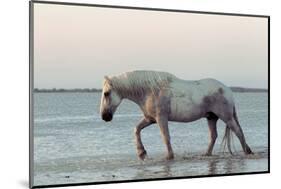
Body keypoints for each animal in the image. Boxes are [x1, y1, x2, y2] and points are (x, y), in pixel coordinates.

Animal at [99, 70, 253, 159]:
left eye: (106, 93)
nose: (104, 117)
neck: (150, 91)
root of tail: (227, 90)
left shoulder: (161, 119)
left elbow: (165, 136)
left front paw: (169, 156)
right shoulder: (150, 119)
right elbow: (136, 129)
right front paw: (141, 153)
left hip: (226, 117)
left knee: (238, 131)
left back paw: (246, 151)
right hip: (211, 117)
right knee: (214, 136)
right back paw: (207, 154)